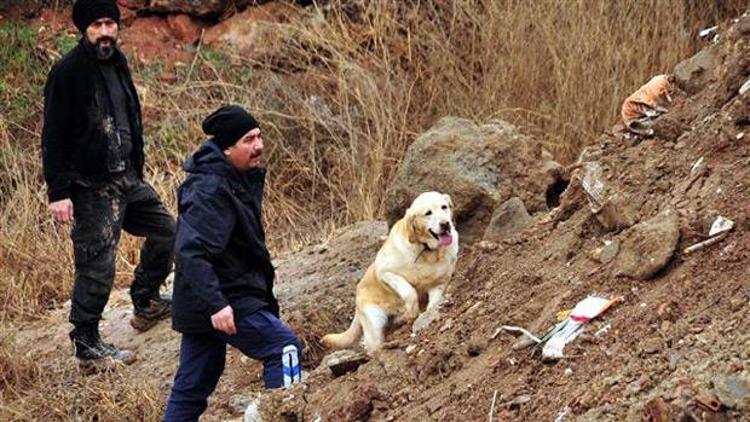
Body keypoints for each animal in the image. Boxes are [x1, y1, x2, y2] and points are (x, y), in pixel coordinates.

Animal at [322, 191, 458, 352]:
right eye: (428, 213)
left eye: (444, 207)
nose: (445, 224)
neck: (427, 251)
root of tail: (357, 300)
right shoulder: (385, 272)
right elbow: (409, 291)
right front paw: (412, 312)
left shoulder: (439, 284)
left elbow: (434, 302)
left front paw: (428, 315)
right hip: (374, 322)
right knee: (373, 348)